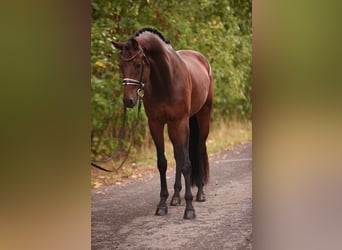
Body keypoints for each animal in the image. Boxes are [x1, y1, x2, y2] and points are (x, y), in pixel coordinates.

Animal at [112, 27, 214, 219]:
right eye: (121, 66)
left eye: (138, 64)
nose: (128, 101)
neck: (166, 80)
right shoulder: (156, 124)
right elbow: (163, 163)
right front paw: (162, 204)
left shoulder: (181, 122)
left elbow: (187, 163)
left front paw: (190, 209)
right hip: (175, 127)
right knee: (178, 155)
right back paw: (175, 197)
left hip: (202, 117)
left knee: (197, 150)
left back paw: (200, 194)